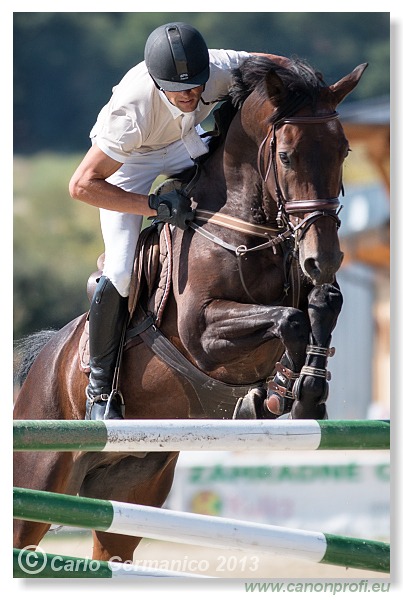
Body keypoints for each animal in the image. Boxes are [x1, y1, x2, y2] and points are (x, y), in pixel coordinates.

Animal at [12, 56, 368, 564]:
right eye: (286, 157)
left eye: (343, 151)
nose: (325, 258)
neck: (244, 227)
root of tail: (42, 365)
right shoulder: (203, 334)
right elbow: (290, 319)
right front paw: (288, 394)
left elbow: (322, 305)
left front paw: (302, 392)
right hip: (35, 483)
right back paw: (103, 404)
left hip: (131, 494)